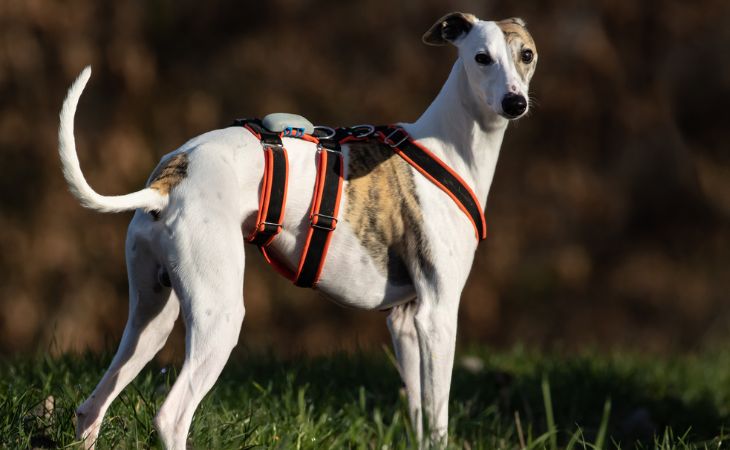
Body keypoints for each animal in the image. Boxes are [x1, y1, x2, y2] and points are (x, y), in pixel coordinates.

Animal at [58, 12, 536, 448]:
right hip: (220, 315)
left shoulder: (404, 321)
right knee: (171, 416)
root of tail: (168, 180)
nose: (515, 103)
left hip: (152, 316)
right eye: (481, 57)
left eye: (526, 55)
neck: (446, 147)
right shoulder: (437, 314)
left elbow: (418, 413)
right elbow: (437, 421)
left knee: (91, 407)